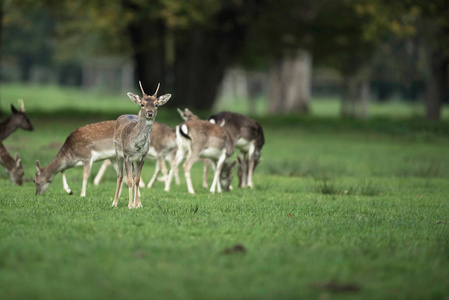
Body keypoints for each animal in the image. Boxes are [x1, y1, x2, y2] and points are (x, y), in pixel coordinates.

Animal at [112, 81, 172, 209]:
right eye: (142, 104)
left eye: (156, 105)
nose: (149, 113)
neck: (136, 146)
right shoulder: (127, 156)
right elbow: (129, 180)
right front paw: (130, 205)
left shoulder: (142, 157)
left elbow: (137, 180)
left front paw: (138, 204)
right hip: (117, 153)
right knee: (120, 175)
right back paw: (115, 202)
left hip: (134, 161)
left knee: (134, 177)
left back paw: (136, 202)